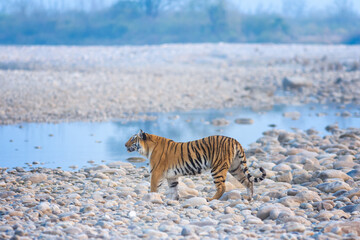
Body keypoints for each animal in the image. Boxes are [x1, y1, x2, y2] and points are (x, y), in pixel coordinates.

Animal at [125, 129, 266, 201]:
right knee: (248, 181)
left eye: (132, 139)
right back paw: (249, 198)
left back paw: (211, 199)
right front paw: (173, 201)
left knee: (222, 187)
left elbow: (153, 188)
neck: (148, 148)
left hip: (218, 168)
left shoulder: (156, 173)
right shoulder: (171, 176)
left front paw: (151, 198)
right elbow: (174, 189)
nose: (125, 145)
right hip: (235, 167)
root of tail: (234, 140)